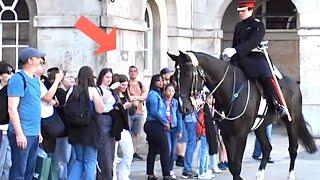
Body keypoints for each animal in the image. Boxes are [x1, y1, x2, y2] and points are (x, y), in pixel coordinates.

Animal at [168, 50, 318, 180]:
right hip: (260, 126)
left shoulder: (241, 135)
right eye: (174, 77)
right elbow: (233, 166)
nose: (184, 108)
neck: (229, 91)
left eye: (188, 75)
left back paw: (290, 175)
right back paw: (260, 174)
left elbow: (237, 165)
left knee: (292, 148)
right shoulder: (227, 135)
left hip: (290, 121)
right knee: (267, 148)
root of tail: (294, 83)